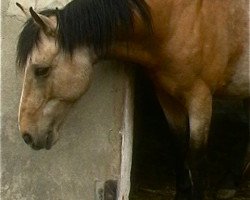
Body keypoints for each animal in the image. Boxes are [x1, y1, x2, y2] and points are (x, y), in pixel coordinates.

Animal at [16, 0, 249, 200]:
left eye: (41, 70)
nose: (26, 135)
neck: (178, 22)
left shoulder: (200, 99)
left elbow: (196, 159)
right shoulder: (166, 96)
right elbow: (177, 145)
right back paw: (231, 181)